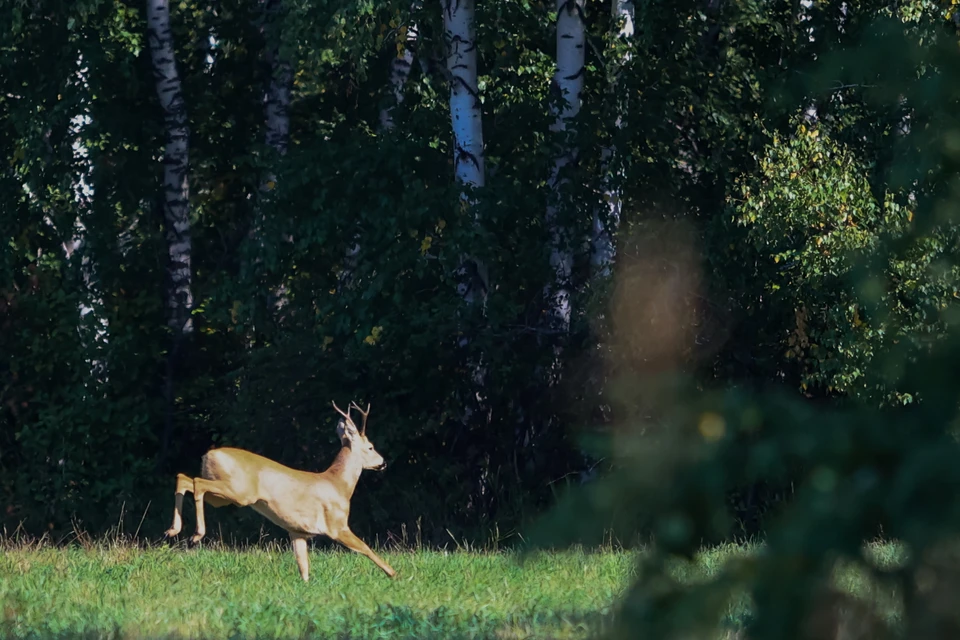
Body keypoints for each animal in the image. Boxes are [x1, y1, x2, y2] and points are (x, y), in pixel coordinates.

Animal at [163, 402, 396, 584]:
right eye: (370, 447)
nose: (383, 463)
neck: (338, 484)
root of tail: (208, 455)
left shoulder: (297, 531)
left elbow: (304, 568)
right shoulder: (337, 525)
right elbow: (365, 547)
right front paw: (393, 574)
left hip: (224, 496)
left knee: (184, 479)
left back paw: (173, 531)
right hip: (238, 492)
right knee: (197, 483)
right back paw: (195, 534)